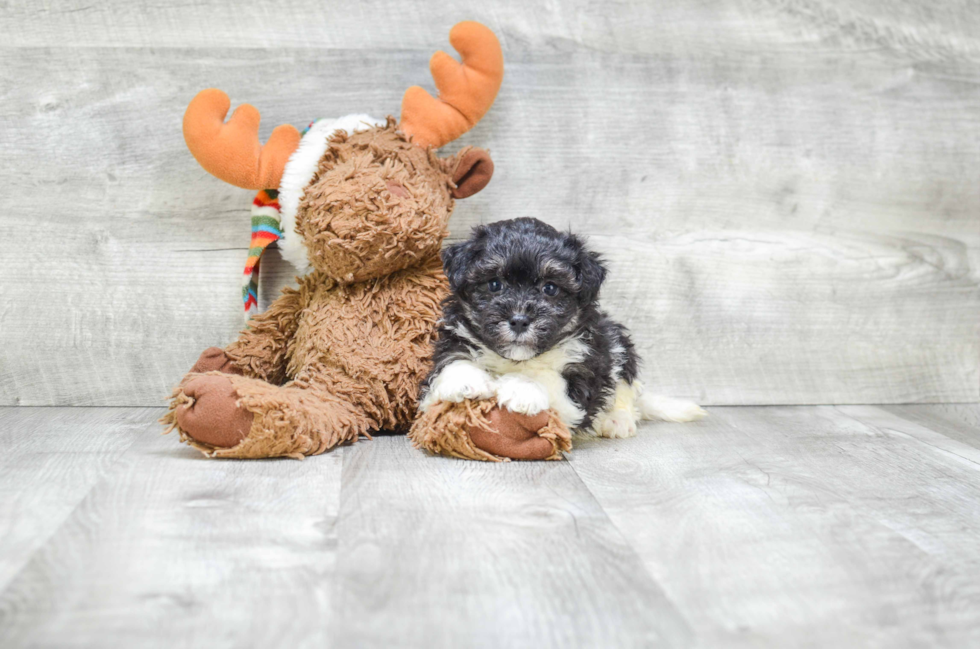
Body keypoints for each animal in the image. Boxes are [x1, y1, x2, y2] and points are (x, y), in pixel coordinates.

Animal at [422, 216, 704, 436]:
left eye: (550, 288)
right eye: (494, 284)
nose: (520, 320)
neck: (517, 359)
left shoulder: (582, 383)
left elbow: (546, 379)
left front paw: (521, 388)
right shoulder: (453, 340)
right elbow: (454, 359)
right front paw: (463, 381)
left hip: (617, 343)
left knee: (625, 388)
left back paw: (617, 420)